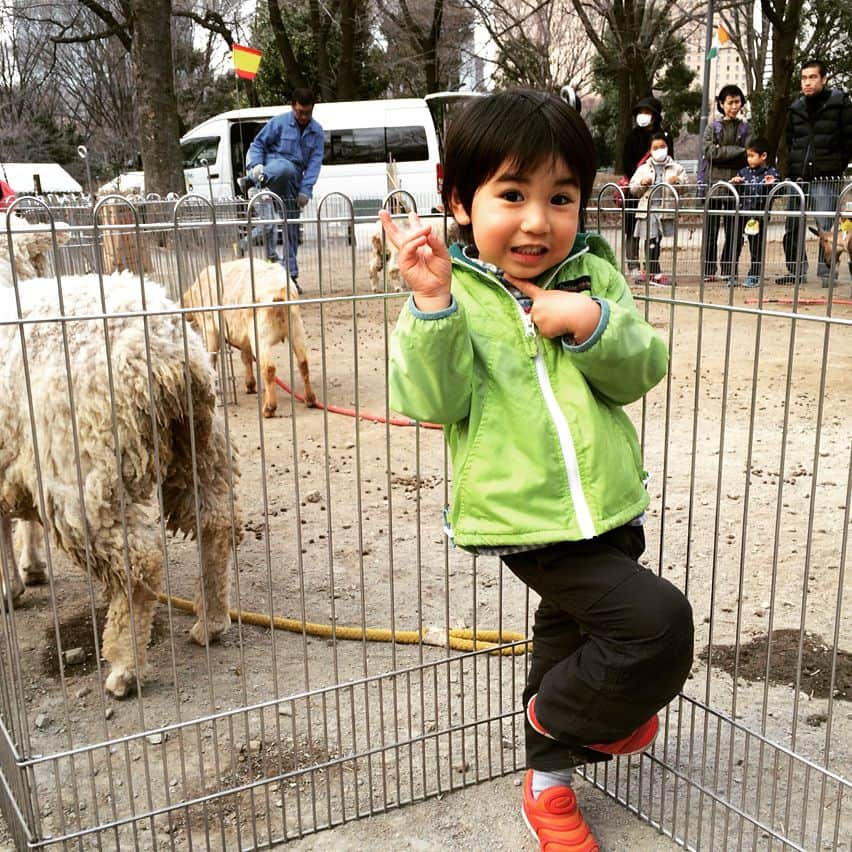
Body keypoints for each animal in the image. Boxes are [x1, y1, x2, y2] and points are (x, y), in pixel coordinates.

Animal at [0, 253, 241, 692]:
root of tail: (163, 350)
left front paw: (11, 584)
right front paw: (26, 571)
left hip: (87, 473)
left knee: (141, 561)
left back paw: (125, 668)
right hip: (200, 444)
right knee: (216, 523)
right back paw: (211, 622)